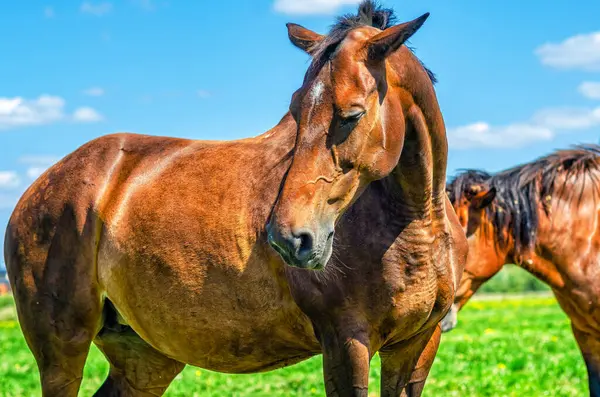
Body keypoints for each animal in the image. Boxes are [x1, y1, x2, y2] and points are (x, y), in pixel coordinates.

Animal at [4, 1, 466, 394]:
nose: (289, 239)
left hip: (144, 356)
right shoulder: (347, 342)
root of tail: (41, 186)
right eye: (295, 111)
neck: (412, 221)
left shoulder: (417, 346)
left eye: (352, 115)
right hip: (62, 349)